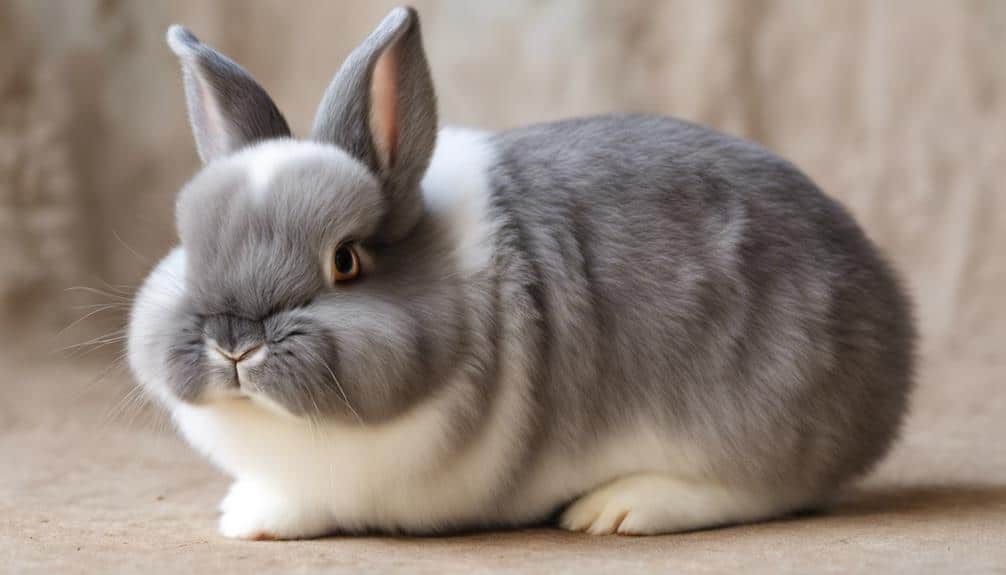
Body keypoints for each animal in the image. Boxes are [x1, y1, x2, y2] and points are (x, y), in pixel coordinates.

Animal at [128, 6, 915, 540]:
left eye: (345, 260)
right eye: (189, 241)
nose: (234, 342)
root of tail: (892, 329)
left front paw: (254, 519)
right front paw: (236, 509)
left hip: (742, 412)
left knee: (763, 490)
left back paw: (618, 508)